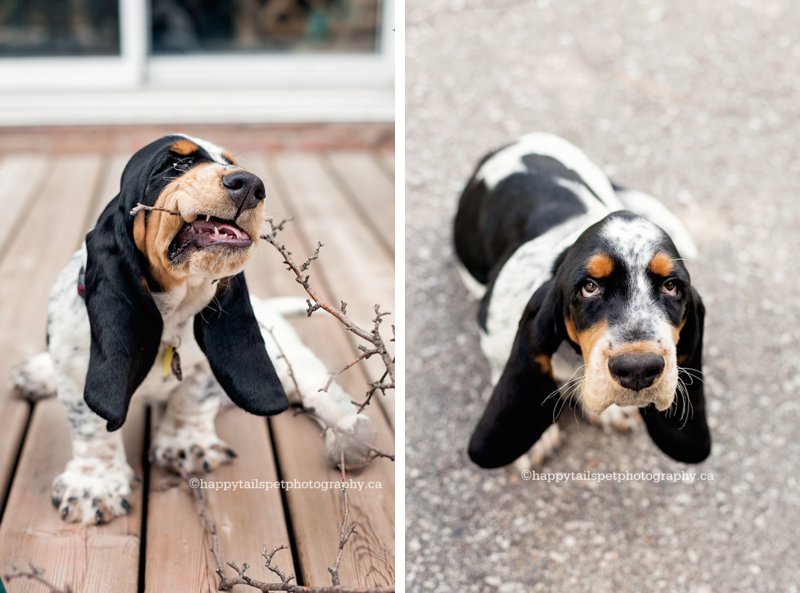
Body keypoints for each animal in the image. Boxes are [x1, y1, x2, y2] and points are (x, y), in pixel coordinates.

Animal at [13, 134, 376, 524]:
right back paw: (36, 373)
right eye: (174, 165)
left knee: (317, 389)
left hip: (288, 359)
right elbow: (91, 427)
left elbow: (191, 397)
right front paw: (95, 486)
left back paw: (350, 436)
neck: (172, 311)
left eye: (231, 163)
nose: (251, 184)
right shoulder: (73, 368)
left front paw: (186, 445)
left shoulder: (204, 369)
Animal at [456, 132, 712, 470]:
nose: (638, 369)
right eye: (589, 287)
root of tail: (517, 142)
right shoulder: (493, 331)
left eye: (672, 287)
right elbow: (502, 364)